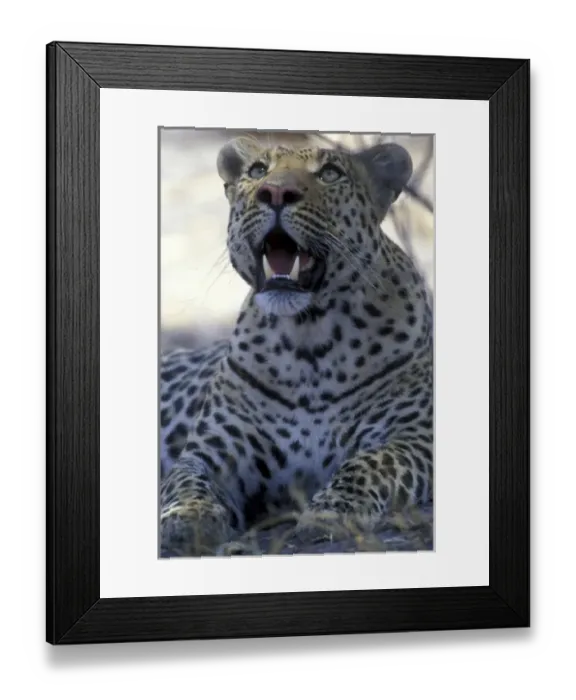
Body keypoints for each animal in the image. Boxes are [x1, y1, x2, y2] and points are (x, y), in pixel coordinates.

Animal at [159, 135, 433, 557]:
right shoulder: (212, 454)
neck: (308, 343)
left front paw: (334, 510)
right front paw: (187, 519)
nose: (275, 193)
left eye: (330, 174)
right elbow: (187, 480)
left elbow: (369, 463)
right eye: (257, 171)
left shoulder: (413, 437)